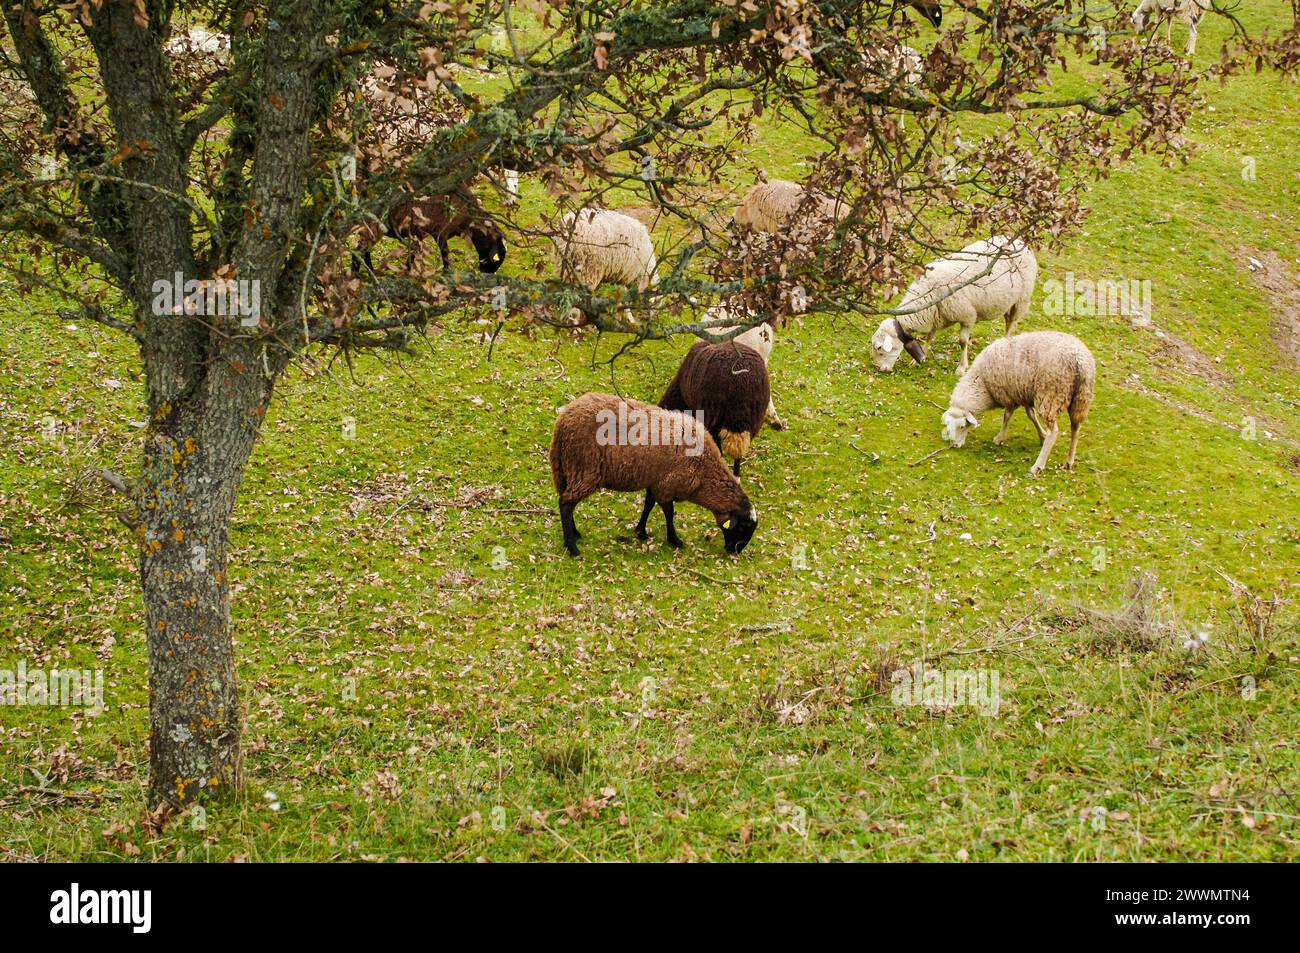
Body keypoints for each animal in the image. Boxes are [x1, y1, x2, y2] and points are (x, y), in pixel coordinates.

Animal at [355, 184, 506, 275]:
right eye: (497, 255)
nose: (487, 272)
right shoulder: (440, 232)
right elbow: (444, 253)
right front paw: (446, 272)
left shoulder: (420, 234)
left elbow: (413, 254)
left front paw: (407, 271)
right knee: (360, 250)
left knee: (364, 250)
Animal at [549, 392, 758, 556]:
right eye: (743, 527)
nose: (734, 551)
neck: (704, 470)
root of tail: (563, 421)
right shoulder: (667, 485)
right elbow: (669, 512)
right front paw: (674, 540)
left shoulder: (657, 480)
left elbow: (648, 505)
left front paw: (641, 531)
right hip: (584, 468)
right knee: (566, 504)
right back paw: (572, 547)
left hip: (566, 469)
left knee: (565, 500)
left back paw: (575, 534)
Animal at [871, 236, 1038, 375]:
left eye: (879, 348)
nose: (878, 368)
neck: (929, 293)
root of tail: (1021, 243)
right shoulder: (935, 314)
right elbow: (929, 337)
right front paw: (916, 360)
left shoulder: (967, 316)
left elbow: (962, 341)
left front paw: (962, 368)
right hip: (1008, 301)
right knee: (1008, 320)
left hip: (1021, 300)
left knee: (1012, 323)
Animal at [940, 331, 1096, 477]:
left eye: (962, 426)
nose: (954, 445)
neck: (982, 383)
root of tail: (1080, 360)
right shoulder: (1023, 393)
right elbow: (1031, 415)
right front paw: (1041, 435)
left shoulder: (1009, 395)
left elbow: (1007, 416)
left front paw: (999, 438)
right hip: (1080, 399)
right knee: (1075, 428)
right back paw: (1069, 461)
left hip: (1051, 395)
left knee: (1054, 432)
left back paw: (1038, 466)